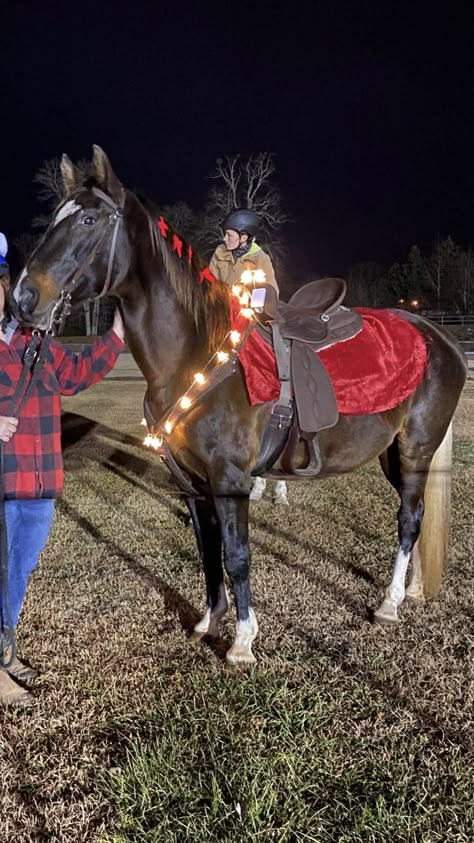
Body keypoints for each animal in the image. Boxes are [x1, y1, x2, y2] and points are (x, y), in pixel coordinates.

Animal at [13, 150, 466, 664]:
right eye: (55, 217)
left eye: (88, 219)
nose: (24, 298)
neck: (198, 352)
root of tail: (440, 337)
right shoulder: (192, 484)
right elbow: (208, 551)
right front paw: (210, 620)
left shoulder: (230, 481)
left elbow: (237, 554)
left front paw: (243, 640)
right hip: (393, 455)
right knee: (417, 516)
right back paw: (411, 589)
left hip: (415, 449)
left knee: (409, 518)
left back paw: (389, 602)